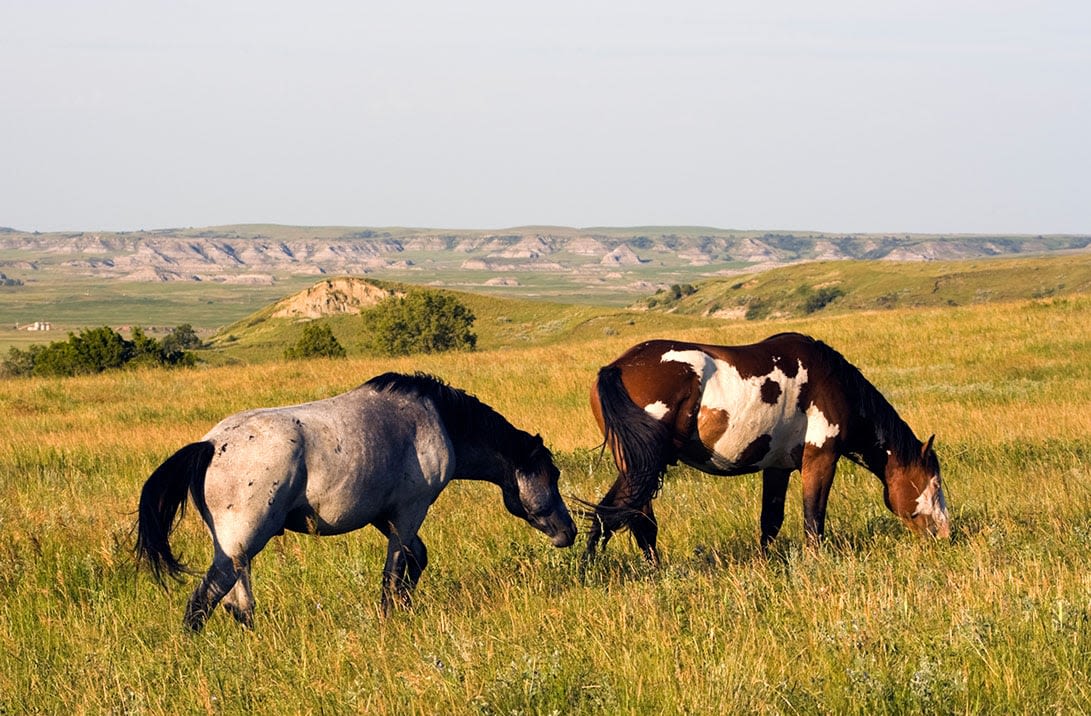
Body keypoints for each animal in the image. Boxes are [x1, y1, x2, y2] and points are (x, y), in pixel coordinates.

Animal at [136, 371, 580, 628]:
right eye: (553, 475)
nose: (569, 531)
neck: (438, 421)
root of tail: (210, 445)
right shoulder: (410, 511)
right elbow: (395, 569)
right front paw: (391, 616)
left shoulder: (384, 514)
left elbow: (415, 560)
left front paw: (404, 609)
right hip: (242, 543)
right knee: (204, 600)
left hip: (234, 549)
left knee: (237, 604)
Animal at [584, 331, 951, 563]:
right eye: (933, 484)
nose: (945, 534)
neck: (833, 382)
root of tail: (617, 367)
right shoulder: (821, 459)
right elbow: (813, 518)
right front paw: (815, 563)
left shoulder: (778, 467)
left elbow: (770, 521)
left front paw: (765, 564)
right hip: (644, 467)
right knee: (636, 517)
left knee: (614, 513)